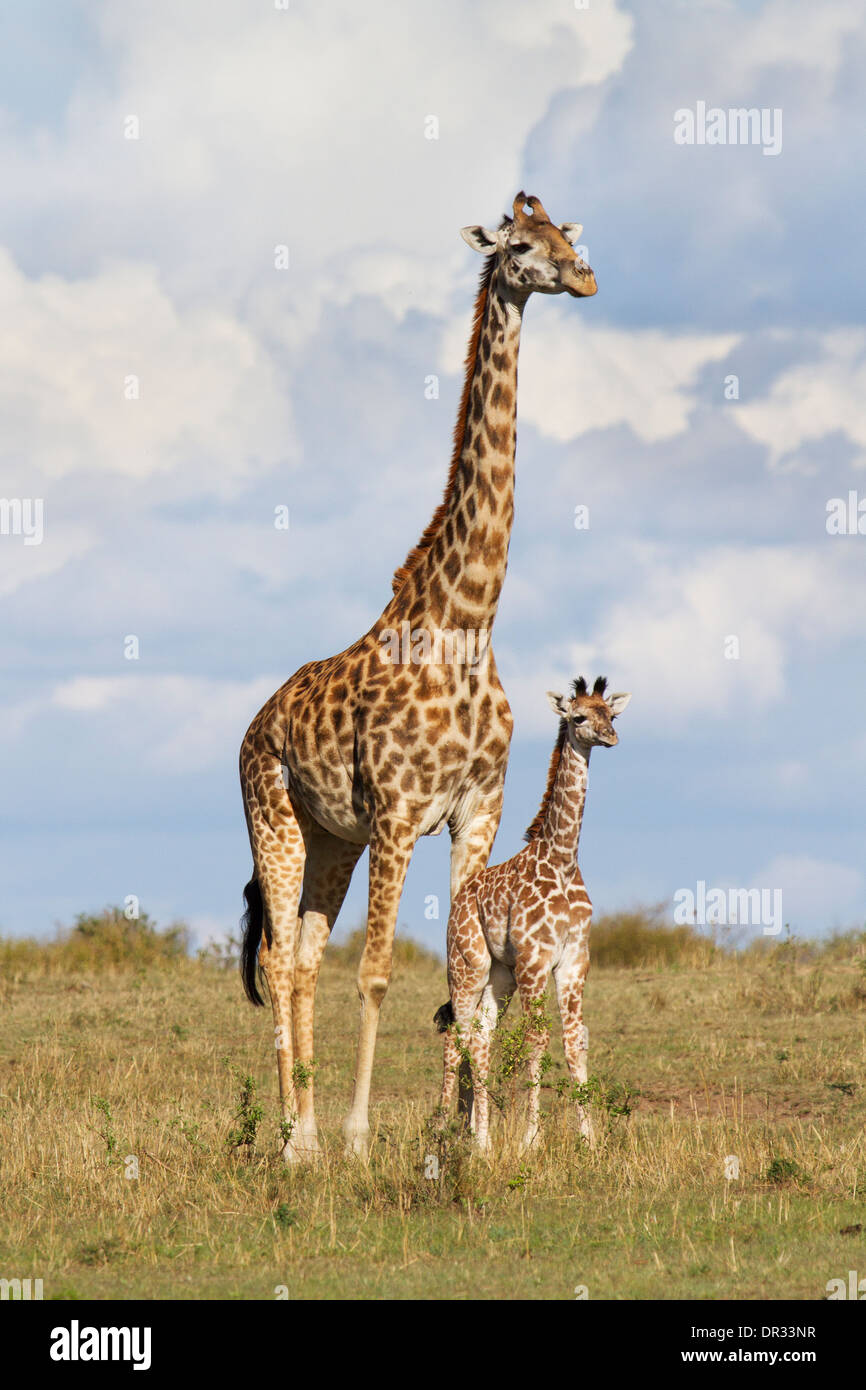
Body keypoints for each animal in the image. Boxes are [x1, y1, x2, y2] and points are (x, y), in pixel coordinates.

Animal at [240, 190, 600, 1156]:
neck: (467, 623)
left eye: (567, 235)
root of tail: (254, 723)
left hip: (333, 836)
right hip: (275, 818)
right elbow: (376, 975)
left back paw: (305, 1131)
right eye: (519, 247)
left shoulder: (476, 812)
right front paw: (366, 1139)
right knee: (277, 956)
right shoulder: (401, 815)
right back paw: (297, 1139)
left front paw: (462, 1140)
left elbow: (462, 987)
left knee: (298, 961)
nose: (585, 277)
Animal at [433, 675, 631, 1150]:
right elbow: (537, 1039)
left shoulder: (574, 960)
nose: (610, 737)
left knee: (480, 1038)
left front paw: (588, 1139)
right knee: (456, 1036)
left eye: (611, 715)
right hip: (467, 966)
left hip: (498, 977)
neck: (560, 860)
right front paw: (532, 1140)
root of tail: (458, 901)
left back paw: (480, 1141)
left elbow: (575, 1041)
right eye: (578, 717)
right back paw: (442, 1130)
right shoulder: (534, 959)